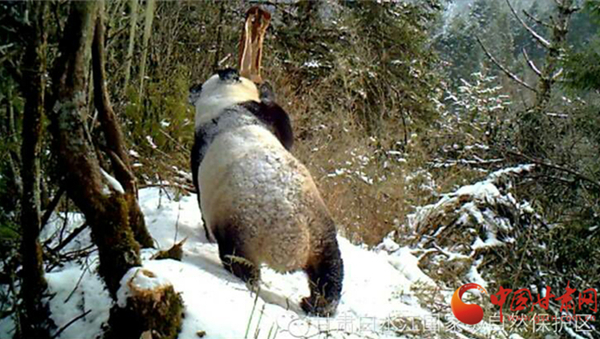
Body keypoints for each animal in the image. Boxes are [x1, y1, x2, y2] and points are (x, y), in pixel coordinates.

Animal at [190, 67, 344, 318]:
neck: (224, 102)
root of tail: (292, 237)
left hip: (251, 226)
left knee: (239, 260)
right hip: (318, 229)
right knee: (330, 270)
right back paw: (317, 304)